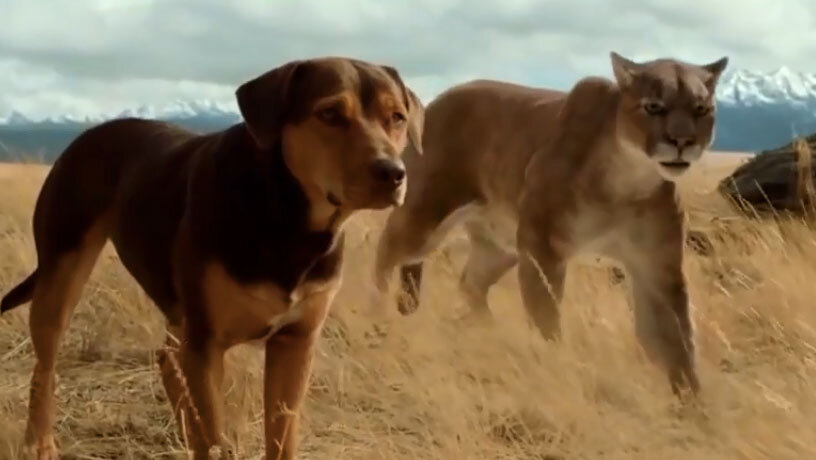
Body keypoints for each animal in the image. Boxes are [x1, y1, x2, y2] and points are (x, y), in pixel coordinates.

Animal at [1, 56, 424, 459]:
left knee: (168, 359)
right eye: (330, 113)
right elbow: (213, 435)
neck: (289, 219)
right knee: (46, 366)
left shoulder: (295, 341)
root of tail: (91, 133)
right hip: (63, 271)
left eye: (397, 118)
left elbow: (281, 438)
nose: (393, 173)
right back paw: (39, 442)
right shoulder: (207, 345)